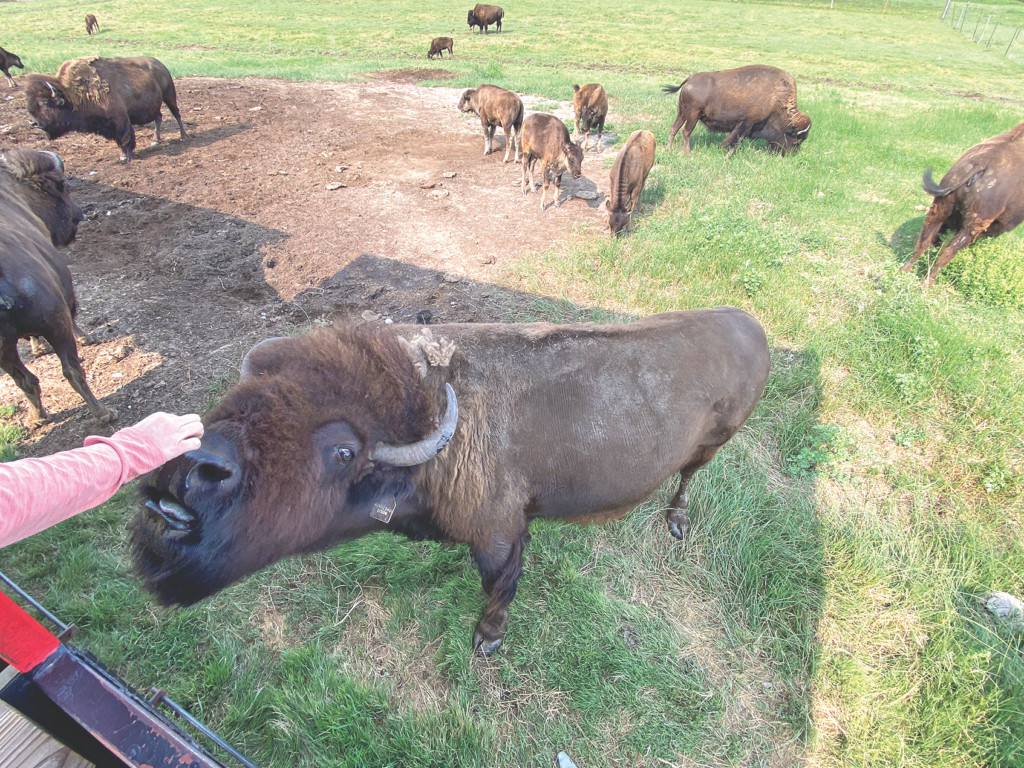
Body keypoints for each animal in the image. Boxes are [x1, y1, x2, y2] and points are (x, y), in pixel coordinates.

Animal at [0, 150, 116, 428]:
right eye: (64, 187)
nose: (79, 215)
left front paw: (38, 347)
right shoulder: (65, 292)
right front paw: (86, 337)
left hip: (3, 351)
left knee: (25, 380)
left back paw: (36, 418)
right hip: (55, 325)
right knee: (72, 370)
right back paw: (104, 413)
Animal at [24, 56, 188, 162]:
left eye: (45, 103)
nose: (33, 123)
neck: (73, 95)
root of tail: (161, 65)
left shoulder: (120, 120)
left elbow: (125, 137)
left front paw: (129, 156)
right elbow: (119, 140)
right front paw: (122, 155)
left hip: (169, 96)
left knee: (176, 114)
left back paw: (183, 136)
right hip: (154, 106)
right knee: (159, 118)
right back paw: (156, 140)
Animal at [132, 309, 770, 659]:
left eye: (343, 451)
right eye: (235, 400)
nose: (194, 468)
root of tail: (751, 327)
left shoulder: (499, 537)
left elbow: (499, 589)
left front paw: (487, 640)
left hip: (715, 443)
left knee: (688, 477)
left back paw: (676, 522)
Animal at [663, 65, 815, 156]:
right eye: (796, 141)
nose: (790, 154)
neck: (776, 98)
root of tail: (690, 79)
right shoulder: (747, 123)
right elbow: (736, 139)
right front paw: (727, 155)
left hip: (682, 114)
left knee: (674, 128)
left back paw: (668, 148)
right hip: (693, 116)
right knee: (686, 132)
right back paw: (688, 153)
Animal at [905, 120, 1024, 288]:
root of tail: (980, 164)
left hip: (941, 208)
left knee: (925, 240)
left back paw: (904, 270)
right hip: (972, 225)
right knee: (948, 252)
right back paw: (927, 283)